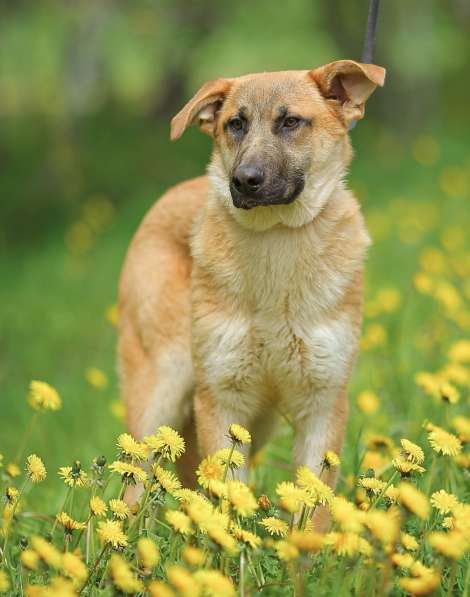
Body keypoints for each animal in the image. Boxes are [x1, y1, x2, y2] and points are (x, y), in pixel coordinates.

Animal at [117, 59, 386, 498]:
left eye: (290, 122)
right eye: (236, 124)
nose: (243, 180)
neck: (276, 237)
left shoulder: (322, 403)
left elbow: (313, 505)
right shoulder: (221, 399)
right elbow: (225, 503)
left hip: (256, 424)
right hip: (161, 391)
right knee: (134, 486)